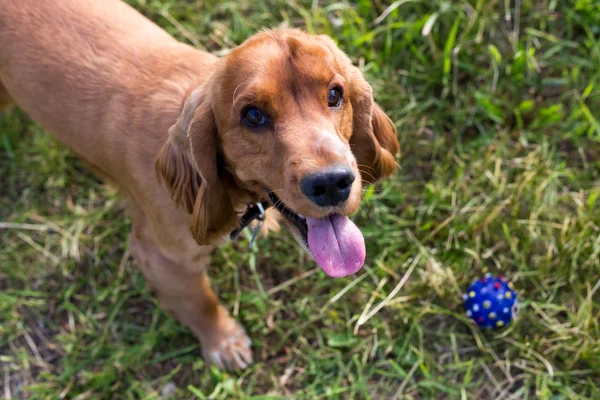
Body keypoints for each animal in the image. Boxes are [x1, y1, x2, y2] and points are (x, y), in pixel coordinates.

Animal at [2, 0, 400, 370]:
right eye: (252, 115)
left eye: (335, 94)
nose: (332, 183)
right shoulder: (162, 257)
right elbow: (200, 301)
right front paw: (224, 342)